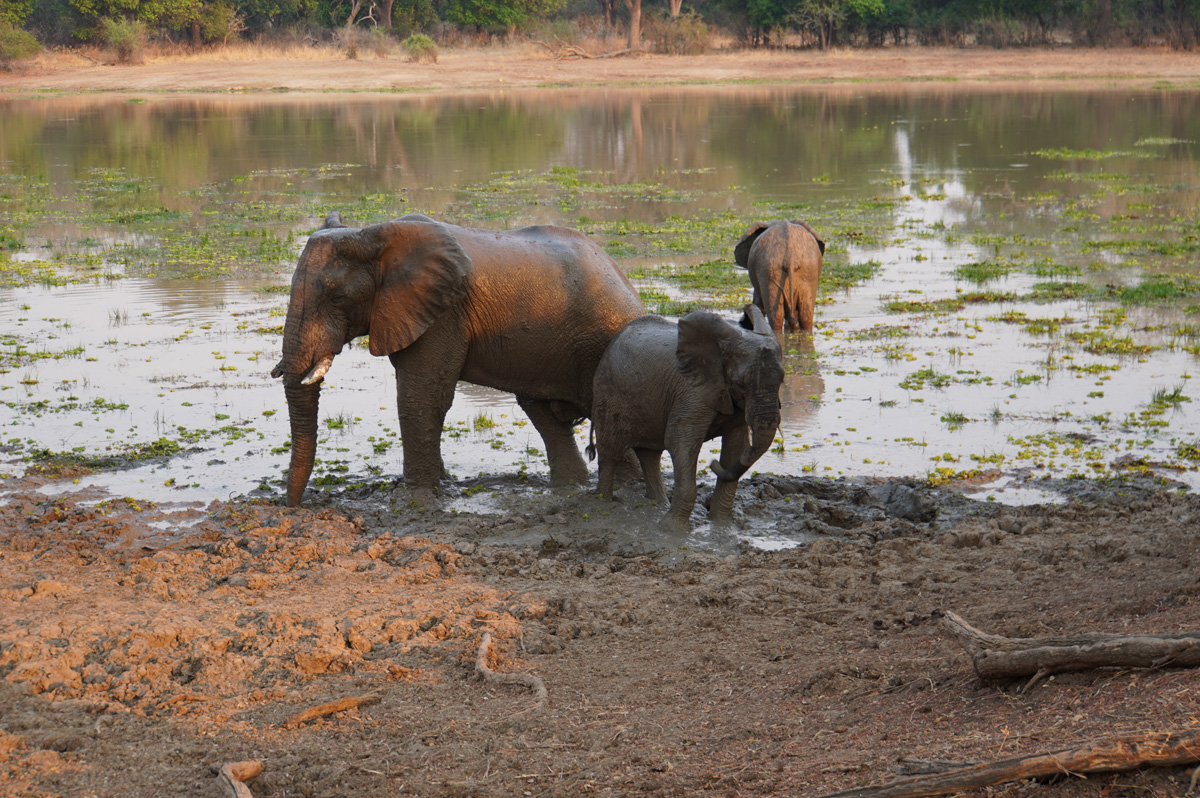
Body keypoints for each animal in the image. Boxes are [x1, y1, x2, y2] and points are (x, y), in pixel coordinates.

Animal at [271, 212, 645, 506]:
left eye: (337, 298)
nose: (295, 506)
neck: (374, 236)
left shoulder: (443, 314)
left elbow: (420, 398)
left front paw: (415, 499)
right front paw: (441, 485)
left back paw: (626, 490)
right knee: (544, 415)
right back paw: (573, 489)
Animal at [588, 303, 785, 529]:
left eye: (782, 380)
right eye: (740, 384)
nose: (712, 463)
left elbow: (736, 445)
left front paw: (721, 525)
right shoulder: (691, 391)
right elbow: (681, 441)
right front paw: (671, 529)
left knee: (649, 455)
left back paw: (658, 504)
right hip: (607, 392)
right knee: (609, 452)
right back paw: (603, 503)